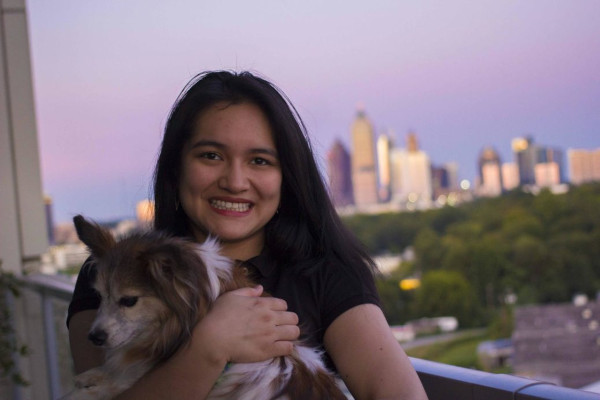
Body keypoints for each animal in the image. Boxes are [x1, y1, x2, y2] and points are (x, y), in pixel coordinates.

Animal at [59, 217, 346, 398]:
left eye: (129, 301)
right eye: (99, 296)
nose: (94, 337)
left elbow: (115, 384)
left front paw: (90, 386)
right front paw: (92, 376)